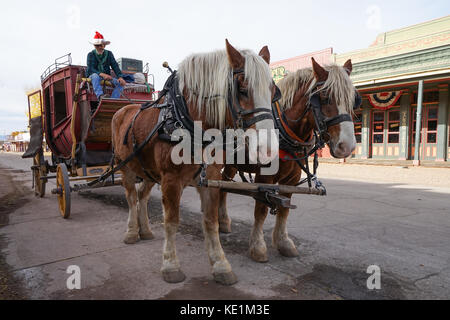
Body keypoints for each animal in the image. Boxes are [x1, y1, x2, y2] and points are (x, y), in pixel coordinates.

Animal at [111, 40, 278, 284]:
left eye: (274, 91)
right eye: (242, 89)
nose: (268, 150)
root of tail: (124, 109)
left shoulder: (211, 177)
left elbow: (211, 221)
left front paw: (220, 265)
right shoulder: (171, 180)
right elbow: (171, 221)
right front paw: (170, 265)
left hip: (149, 170)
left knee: (142, 195)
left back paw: (146, 230)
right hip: (126, 167)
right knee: (132, 197)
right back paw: (132, 231)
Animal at [219, 57, 358, 262]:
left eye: (353, 100)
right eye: (325, 97)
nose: (347, 147)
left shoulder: (292, 177)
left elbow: (284, 209)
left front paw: (283, 242)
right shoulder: (265, 177)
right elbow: (261, 209)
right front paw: (258, 247)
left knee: (224, 184)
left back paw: (222, 222)